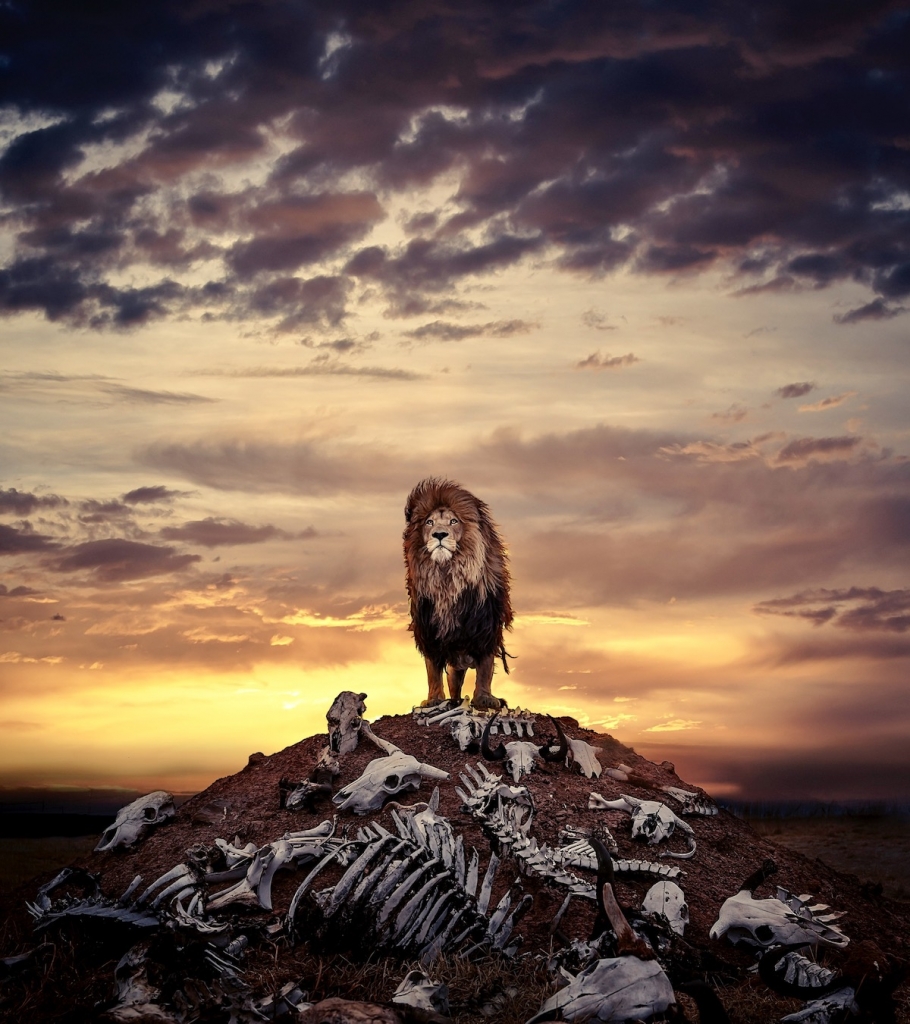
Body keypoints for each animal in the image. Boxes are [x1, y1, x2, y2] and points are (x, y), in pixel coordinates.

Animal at [403, 477, 513, 710]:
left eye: (453, 521)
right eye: (429, 523)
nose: (439, 534)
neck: (447, 576)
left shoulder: (486, 627)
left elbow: (485, 668)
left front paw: (485, 699)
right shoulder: (429, 630)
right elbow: (433, 670)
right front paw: (434, 699)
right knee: (453, 680)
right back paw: (454, 701)